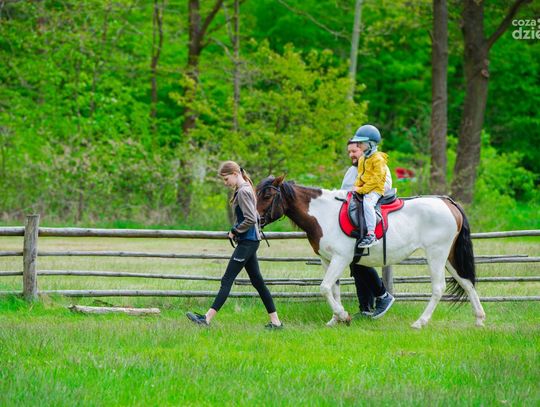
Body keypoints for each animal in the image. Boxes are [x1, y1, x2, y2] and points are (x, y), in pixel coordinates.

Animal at [256, 175, 486, 329]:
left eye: (267, 195)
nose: (255, 220)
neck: (323, 214)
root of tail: (448, 203)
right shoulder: (327, 260)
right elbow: (333, 289)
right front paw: (335, 319)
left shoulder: (341, 258)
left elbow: (324, 287)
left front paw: (343, 316)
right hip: (449, 257)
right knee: (467, 283)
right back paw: (479, 319)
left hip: (436, 254)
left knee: (438, 288)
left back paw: (420, 322)